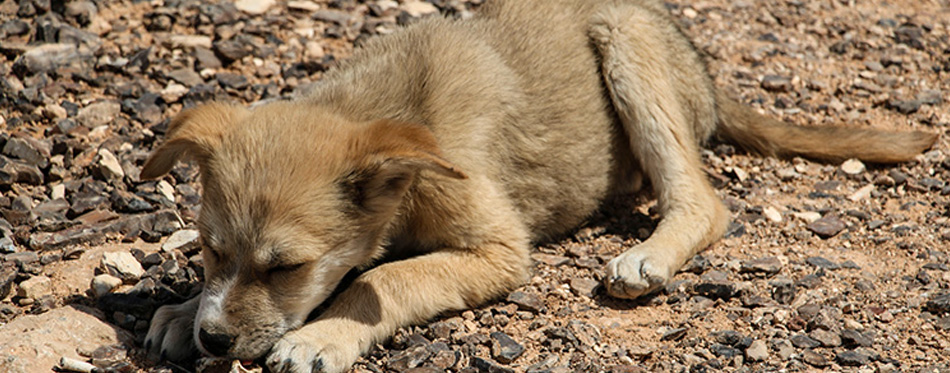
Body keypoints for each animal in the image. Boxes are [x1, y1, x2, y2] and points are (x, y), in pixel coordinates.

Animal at [139, 1, 936, 370]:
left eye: (288, 268)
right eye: (208, 250)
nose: (214, 338)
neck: (395, 110)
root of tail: (705, 71)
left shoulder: (500, 249)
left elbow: (385, 279)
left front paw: (323, 333)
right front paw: (180, 310)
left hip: (627, 46)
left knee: (703, 200)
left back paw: (647, 256)